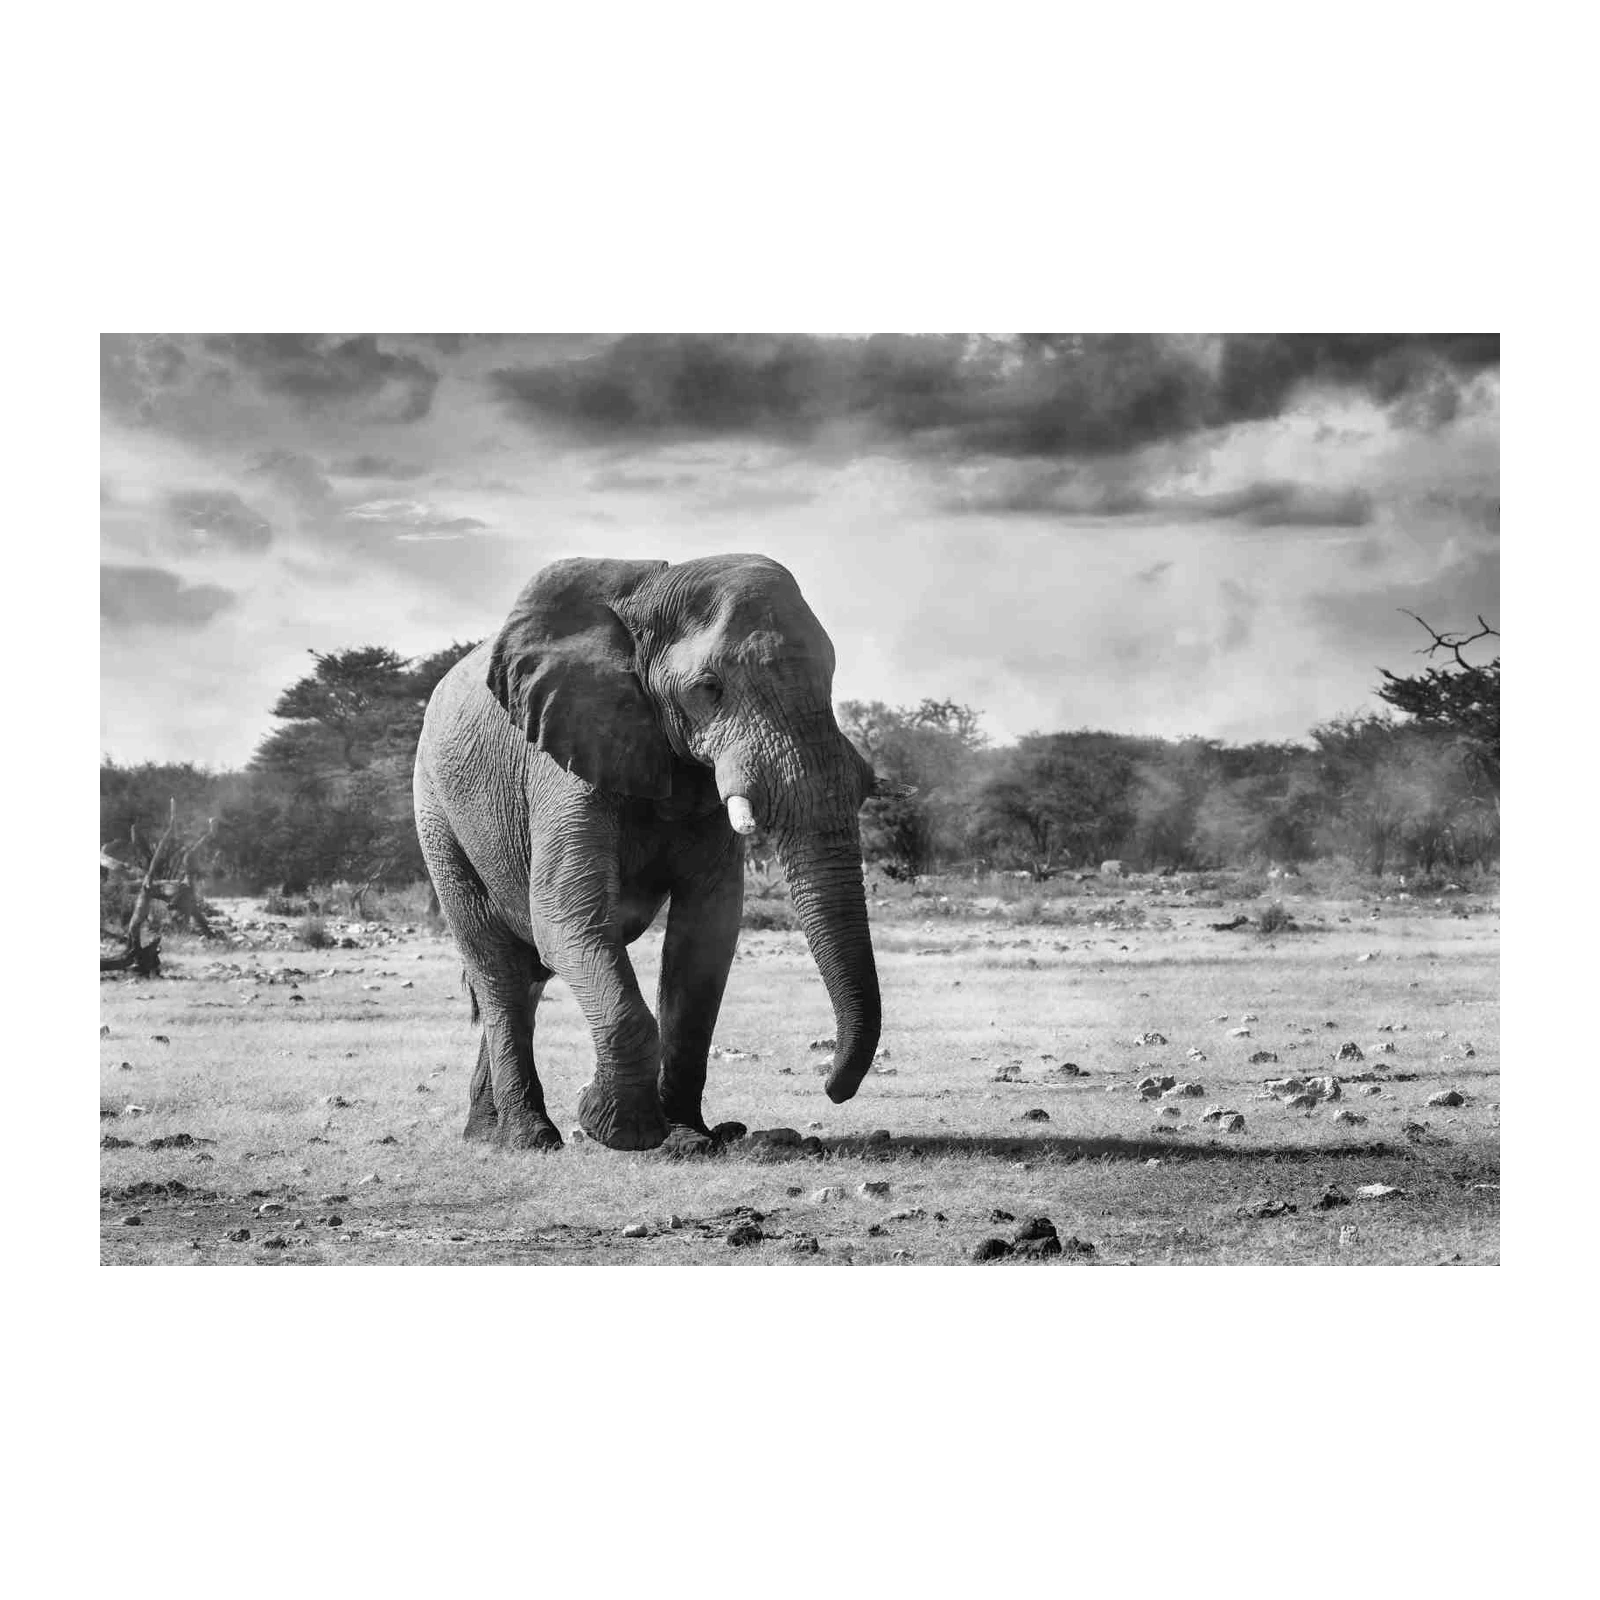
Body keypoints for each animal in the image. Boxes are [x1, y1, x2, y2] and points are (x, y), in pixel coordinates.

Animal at [413, 553, 902, 1155]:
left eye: (831, 680)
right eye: (709, 687)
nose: (832, 1089)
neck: (650, 591)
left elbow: (706, 937)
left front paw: (689, 1138)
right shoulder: (563, 758)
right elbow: (565, 917)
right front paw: (620, 1129)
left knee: (525, 976)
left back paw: (488, 1135)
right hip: (437, 816)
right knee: (498, 967)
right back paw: (530, 1139)